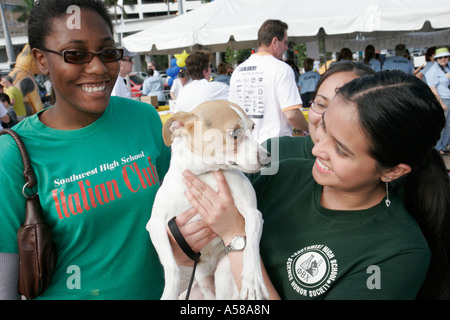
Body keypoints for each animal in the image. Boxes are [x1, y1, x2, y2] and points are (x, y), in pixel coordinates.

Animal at [149, 99, 270, 300]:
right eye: (235, 133)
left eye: (253, 127)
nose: (268, 158)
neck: (205, 174)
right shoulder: (156, 224)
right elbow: (172, 268)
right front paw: (169, 293)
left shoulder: (253, 214)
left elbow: (251, 248)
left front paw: (252, 278)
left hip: (223, 273)